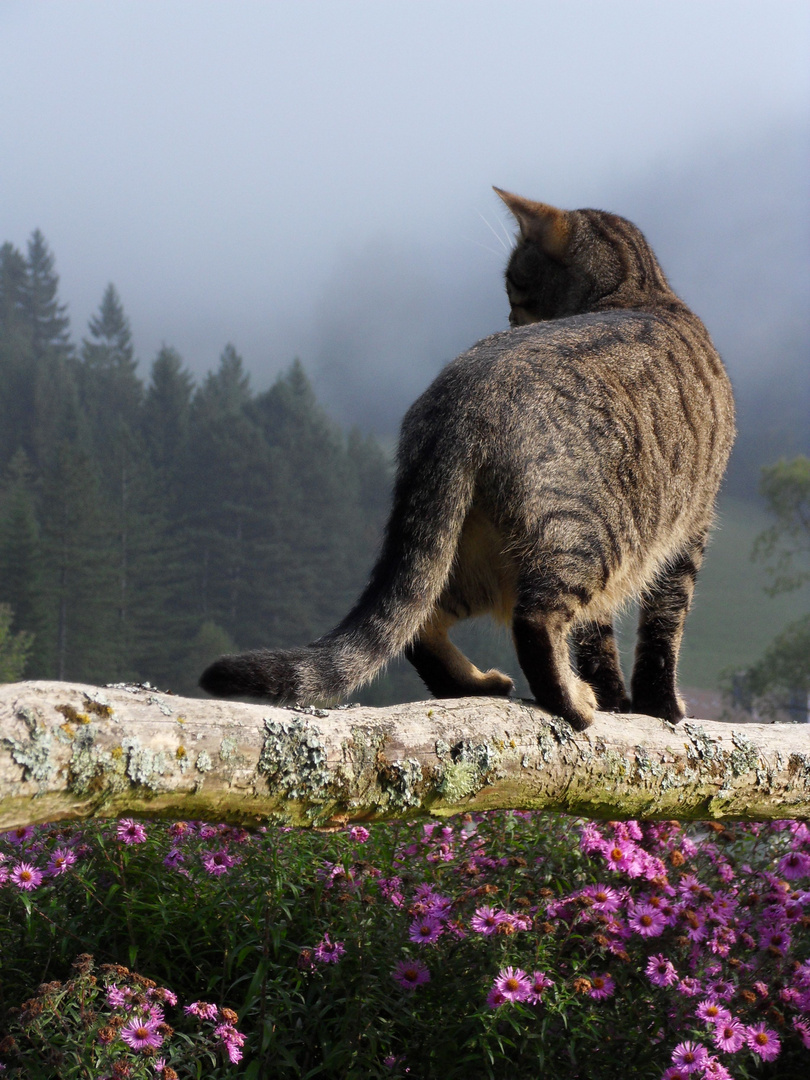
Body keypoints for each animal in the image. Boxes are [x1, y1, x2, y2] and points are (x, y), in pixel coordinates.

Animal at [199, 190, 738, 730]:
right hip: (588, 538)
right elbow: (663, 626)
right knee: (534, 621)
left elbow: (601, 636)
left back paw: (475, 684)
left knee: (416, 623)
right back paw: (573, 702)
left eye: (513, 283)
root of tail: (458, 402)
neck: (640, 288)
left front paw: (620, 701)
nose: (508, 317)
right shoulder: (693, 526)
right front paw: (654, 706)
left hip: (465, 553)